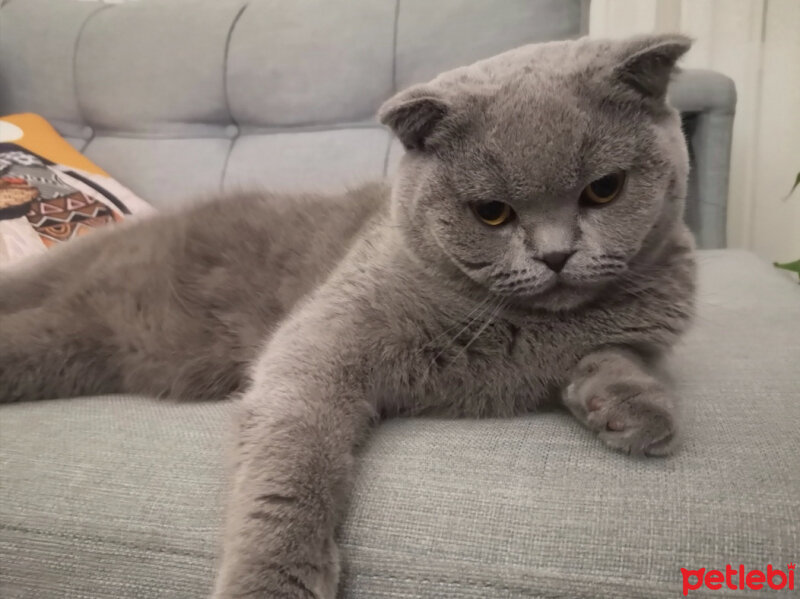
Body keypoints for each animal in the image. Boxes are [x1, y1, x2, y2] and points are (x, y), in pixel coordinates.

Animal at [0, 34, 692, 599]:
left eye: (604, 189)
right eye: (491, 212)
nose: (554, 255)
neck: (532, 325)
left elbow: (619, 354)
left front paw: (633, 411)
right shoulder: (323, 341)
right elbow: (294, 462)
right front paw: (269, 585)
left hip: (70, 346)